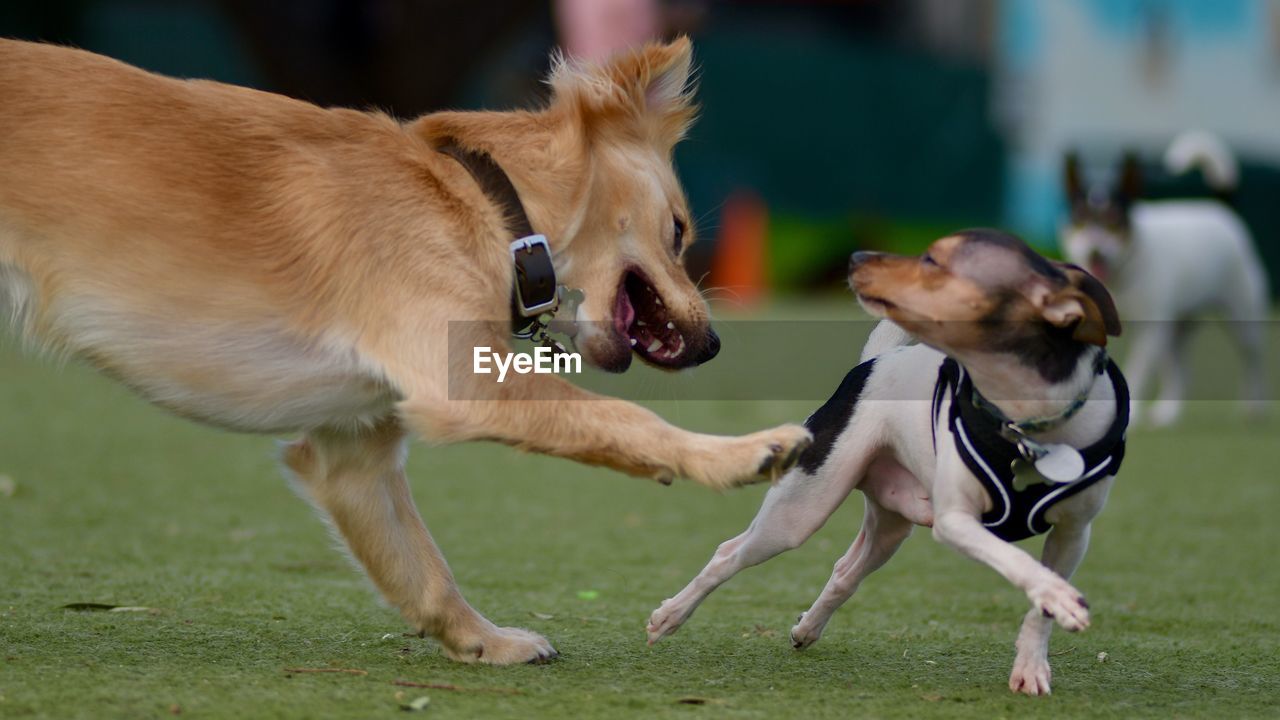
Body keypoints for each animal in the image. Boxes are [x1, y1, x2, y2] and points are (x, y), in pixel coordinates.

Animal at [0, 39, 808, 661]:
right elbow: (627, 422)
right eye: (678, 231)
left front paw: (483, 642)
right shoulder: (464, 386)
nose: (713, 344)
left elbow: (420, 567)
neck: (484, 198)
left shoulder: (350, 455)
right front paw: (737, 453)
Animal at [650, 226, 1131, 691]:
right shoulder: (955, 520)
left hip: (891, 525)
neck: (1025, 424)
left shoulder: (1073, 534)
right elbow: (1016, 560)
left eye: (932, 260)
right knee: (728, 555)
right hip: (799, 512)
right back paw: (670, 615)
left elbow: (1039, 606)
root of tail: (875, 361)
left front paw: (1032, 662)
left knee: (846, 571)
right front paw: (1056, 598)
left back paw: (807, 628)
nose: (859, 258)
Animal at [1059, 131, 1269, 422]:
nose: (1095, 251)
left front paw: (1130, 414)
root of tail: (1221, 209)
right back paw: (1169, 413)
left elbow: (1137, 370)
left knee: (1253, 360)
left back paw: (1254, 407)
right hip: (1175, 330)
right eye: (1080, 220)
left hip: (1242, 315)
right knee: (1179, 370)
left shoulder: (1150, 331)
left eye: (1114, 221)